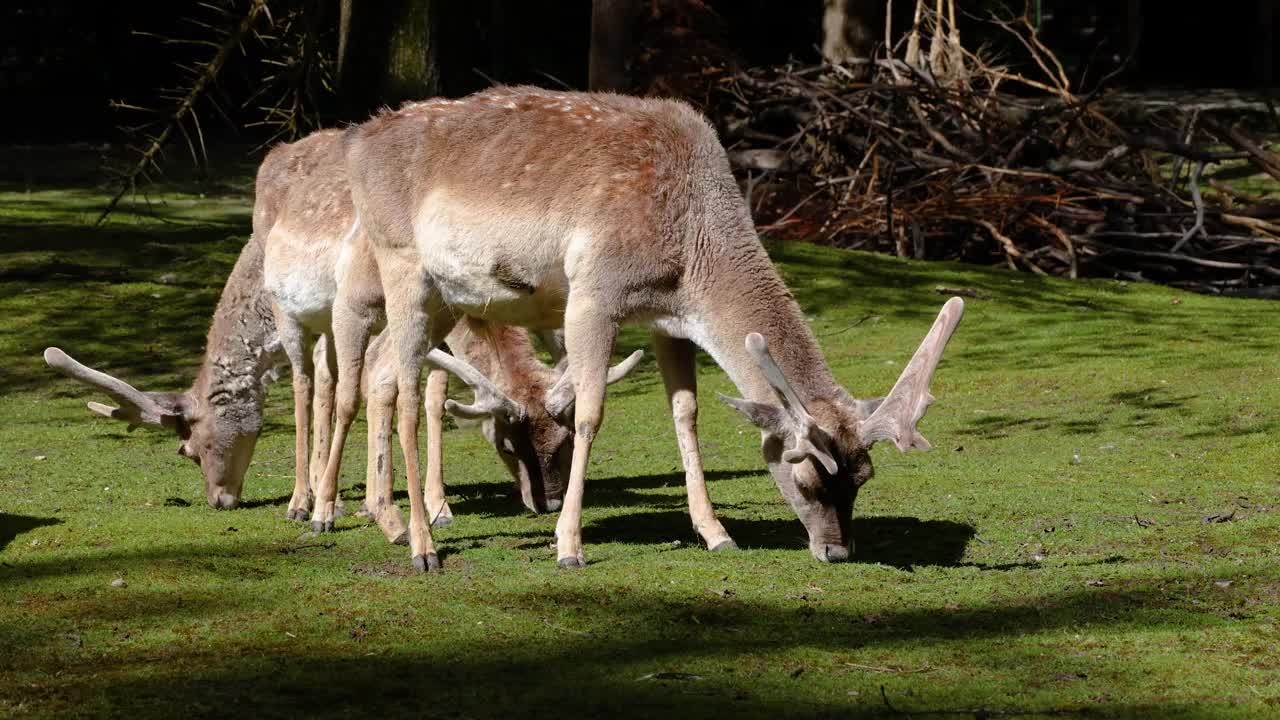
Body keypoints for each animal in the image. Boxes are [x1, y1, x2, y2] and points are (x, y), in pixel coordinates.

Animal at [340, 85, 962, 566]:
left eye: (864, 478)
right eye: (806, 478)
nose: (836, 551)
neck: (692, 251)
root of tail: (359, 140)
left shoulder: (668, 319)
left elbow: (686, 412)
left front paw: (716, 533)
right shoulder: (594, 292)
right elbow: (589, 413)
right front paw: (569, 545)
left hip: (453, 296)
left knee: (383, 370)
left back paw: (385, 519)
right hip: (402, 264)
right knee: (407, 387)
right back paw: (421, 543)